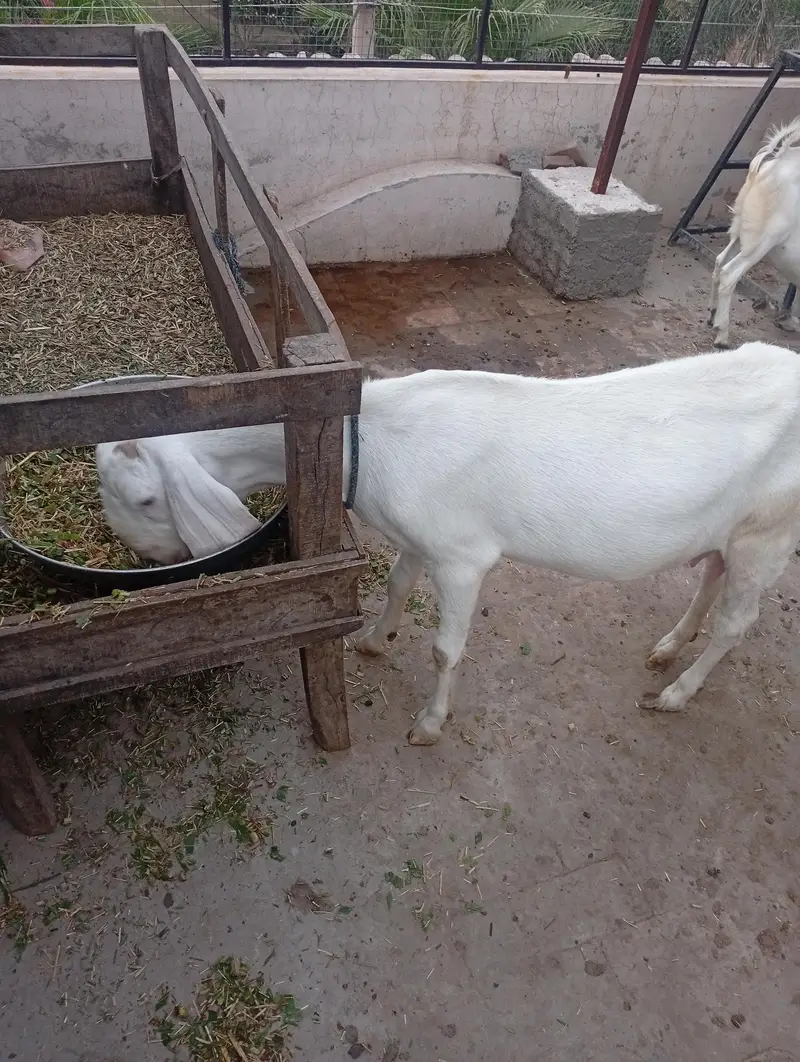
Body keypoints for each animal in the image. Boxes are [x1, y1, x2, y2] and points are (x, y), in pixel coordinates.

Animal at [96, 342, 800, 745]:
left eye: (145, 499)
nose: (147, 561)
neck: (369, 440)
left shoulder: (464, 558)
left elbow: (445, 648)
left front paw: (430, 725)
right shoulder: (419, 539)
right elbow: (394, 584)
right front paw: (372, 639)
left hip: (769, 532)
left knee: (736, 622)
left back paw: (677, 691)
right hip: (729, 528)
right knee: (710, 574)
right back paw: (668, 646)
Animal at [710, 116, 800, 348]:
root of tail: (779, 158)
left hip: (743, 228)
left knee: (720, 260)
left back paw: (712, 315)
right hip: (764, 239)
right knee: (730, 272)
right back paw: (722, 335)